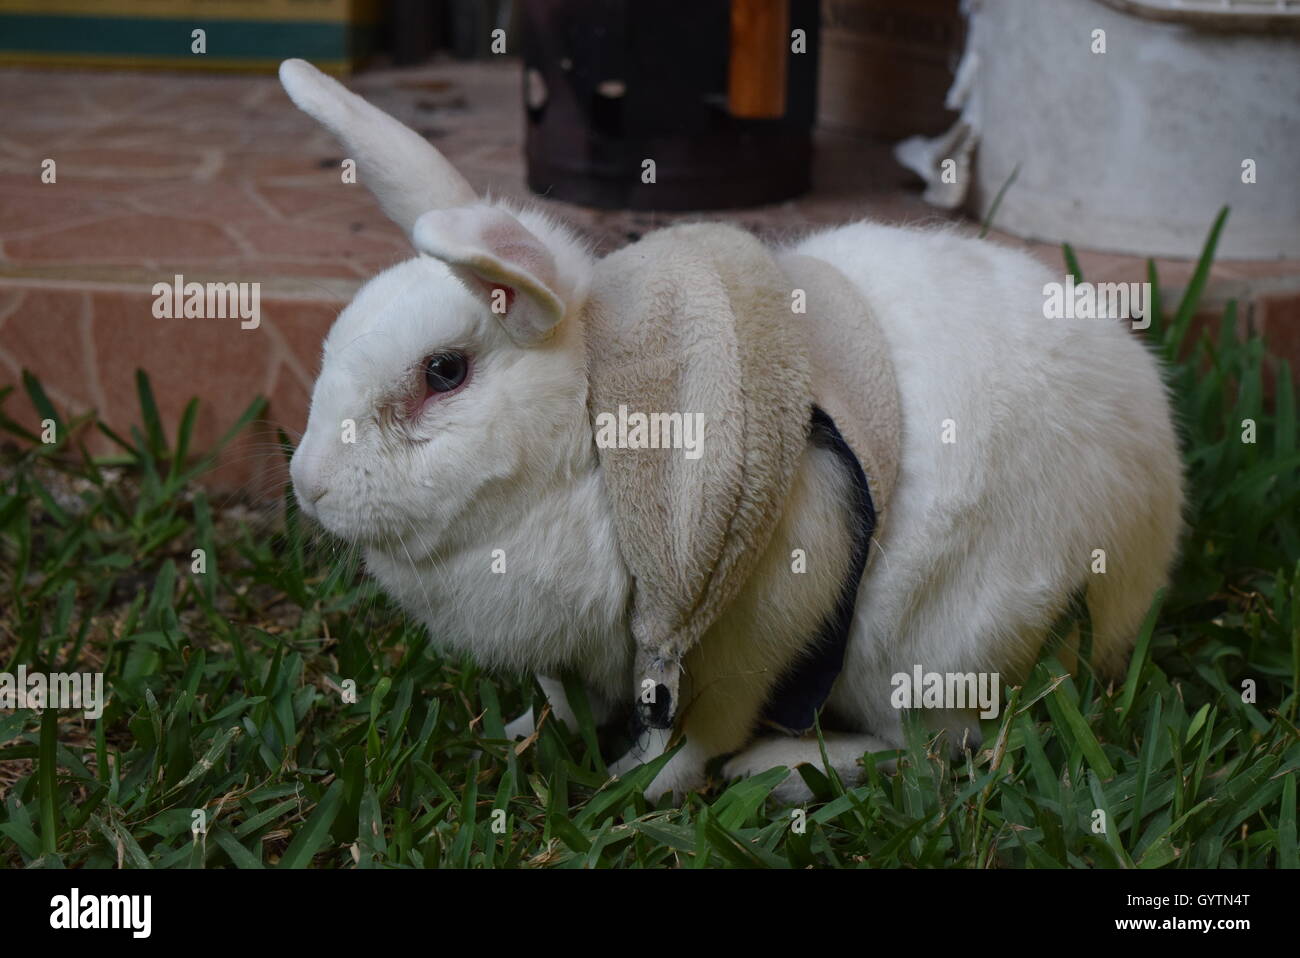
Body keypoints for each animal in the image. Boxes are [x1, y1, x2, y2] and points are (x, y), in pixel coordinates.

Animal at [280, 59, 1184, 803]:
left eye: (444, 373)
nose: (307, 486)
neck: (592, 432)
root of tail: (1154, 528)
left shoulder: (752, 623)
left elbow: (695, 735)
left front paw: (640, 787)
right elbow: (568, 701)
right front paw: (527, 736)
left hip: (946, 649)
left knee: (932, 747)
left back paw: (783, 769)